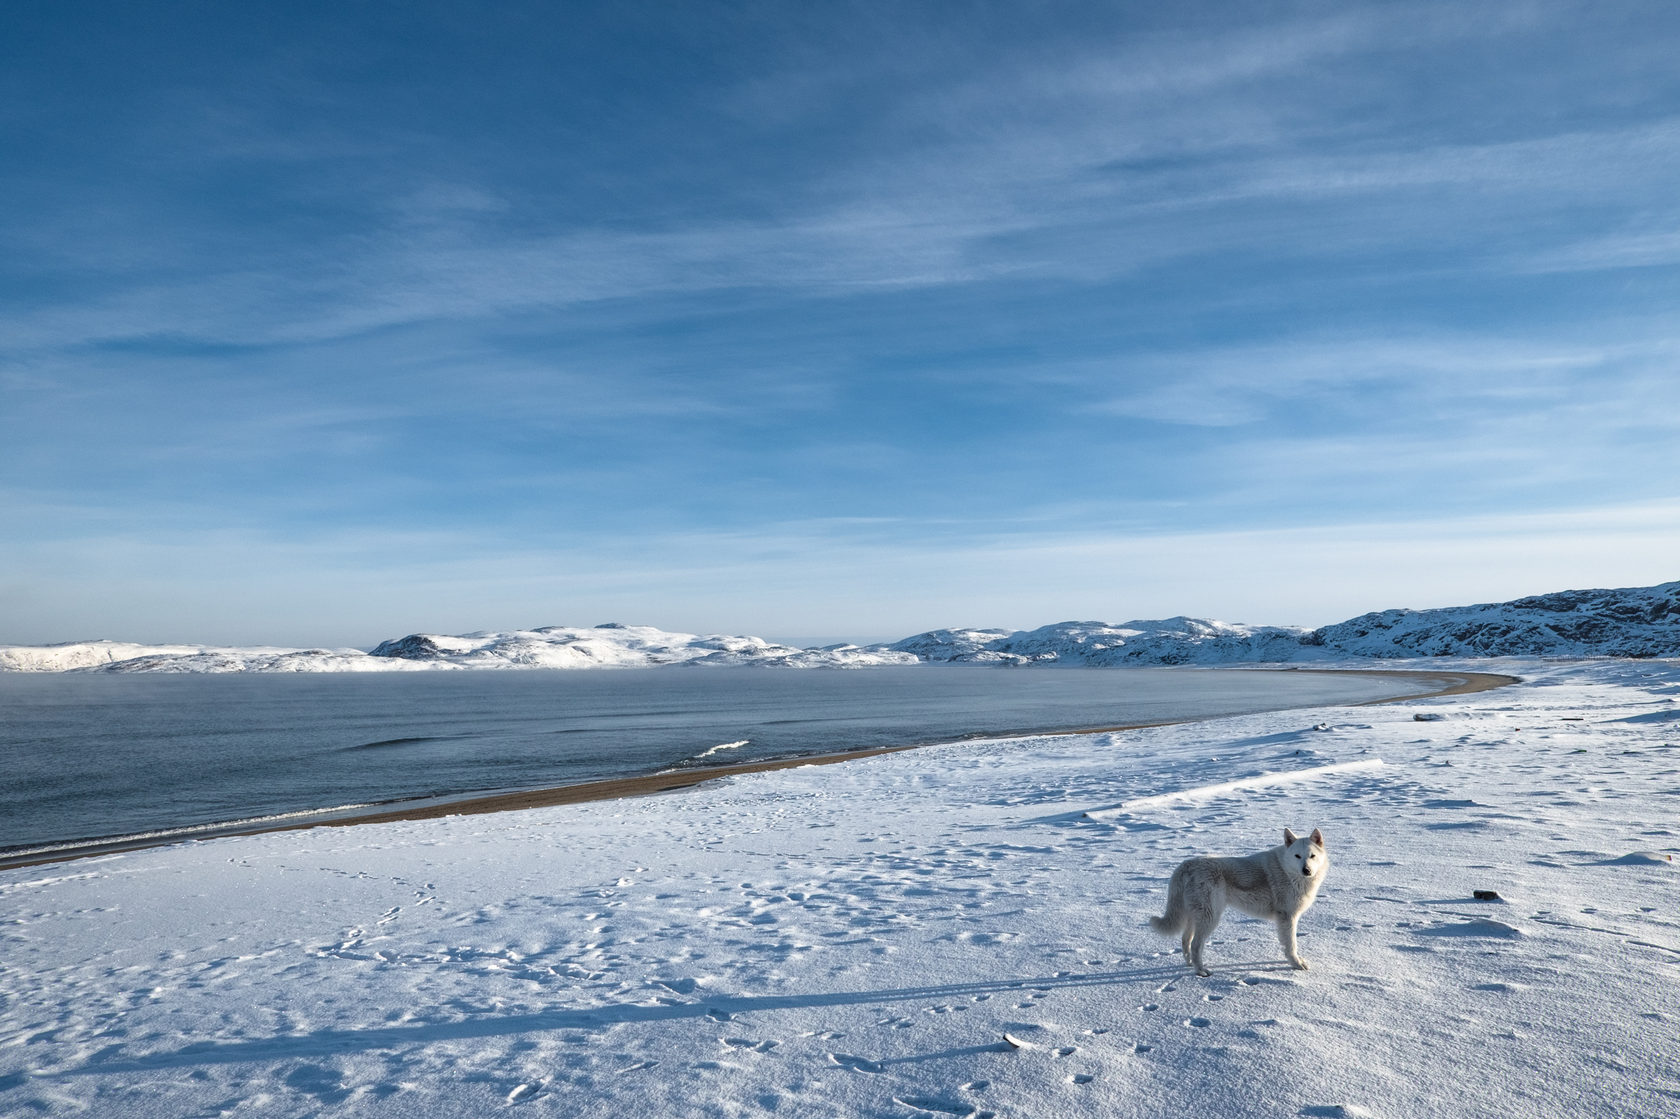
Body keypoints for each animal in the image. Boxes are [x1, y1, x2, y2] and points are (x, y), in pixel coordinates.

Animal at [1155, 823, 1323, 974]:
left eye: (1312, 856)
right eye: (1297, 856)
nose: (1307, 870)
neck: (1287, 870)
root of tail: (1185, 865)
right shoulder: (1287, 917)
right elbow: (1291, 945)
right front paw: (1296, 964)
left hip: (1195, 916)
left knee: (1185, 940)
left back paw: (1190, 964)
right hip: (1209, 917)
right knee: (1196, 945)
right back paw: (1201, 971)